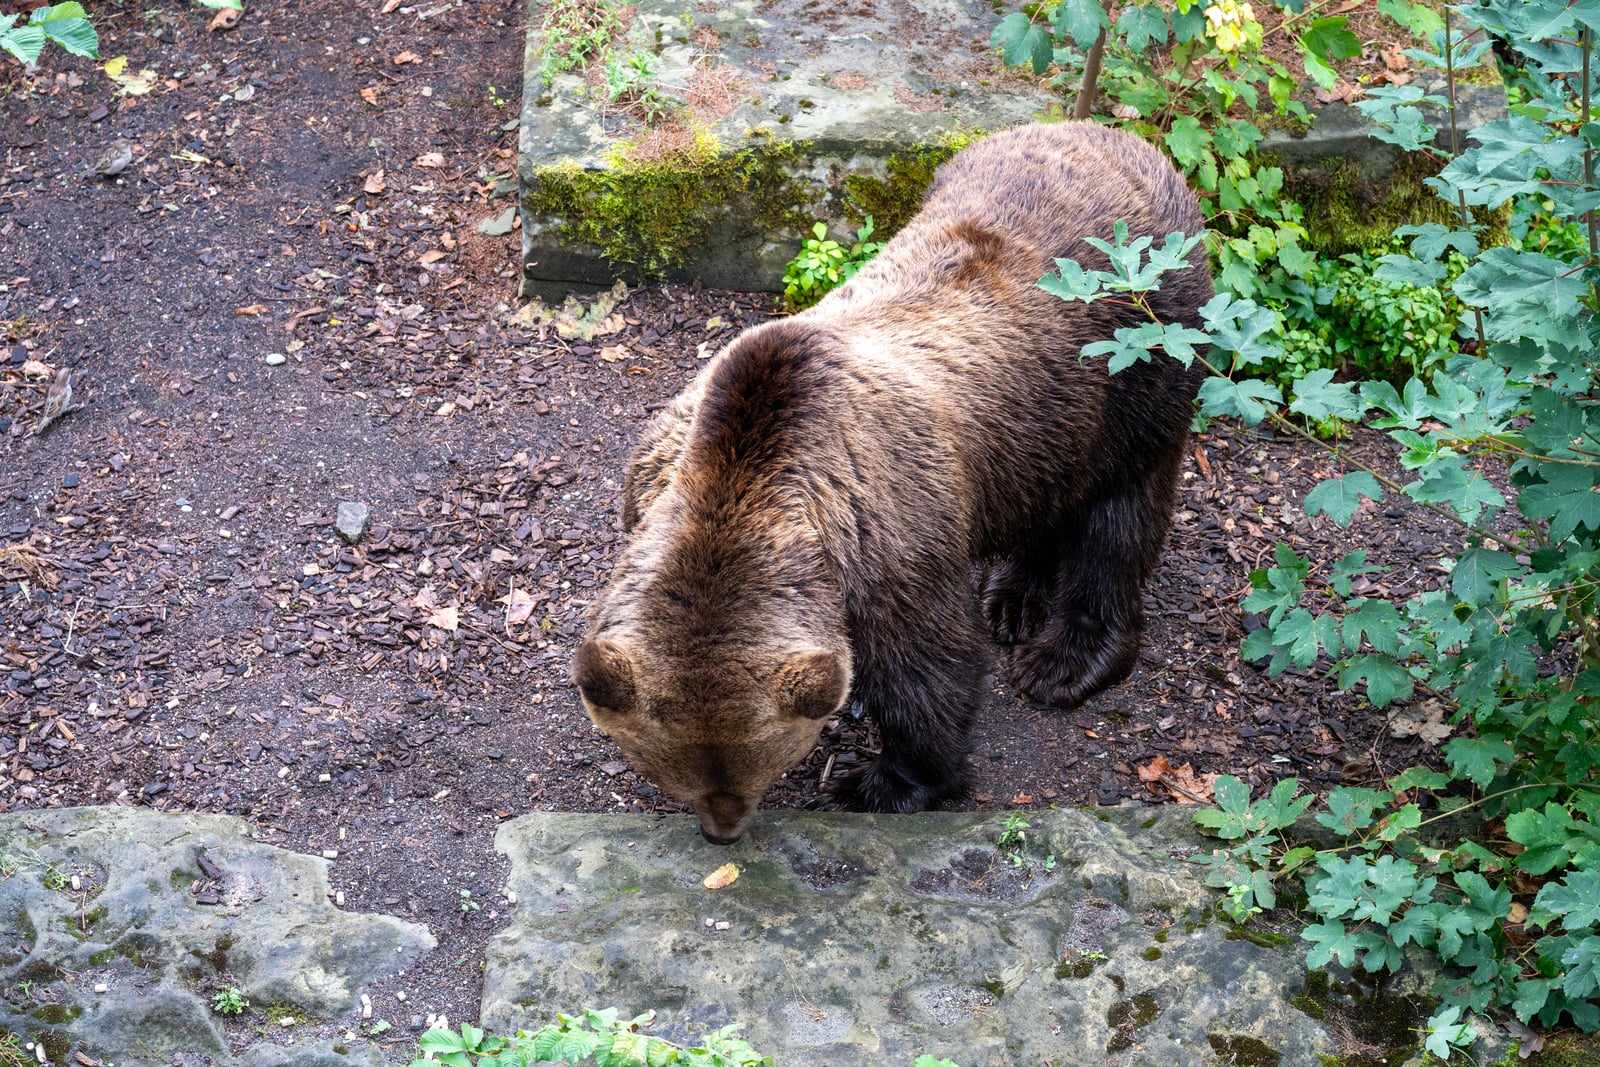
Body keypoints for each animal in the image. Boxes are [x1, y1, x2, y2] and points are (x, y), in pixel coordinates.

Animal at [573, 122, 1212, 844]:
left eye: (757, 767)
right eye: (670, 770)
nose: (722, 829)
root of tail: (1117, 136)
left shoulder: (888, 543)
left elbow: (929, 669)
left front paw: (881, 781)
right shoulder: (649, 483)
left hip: (1137, 352)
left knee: (1120, 511)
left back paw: (1065, 657)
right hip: (1040, 421)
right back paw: (1010, 595)